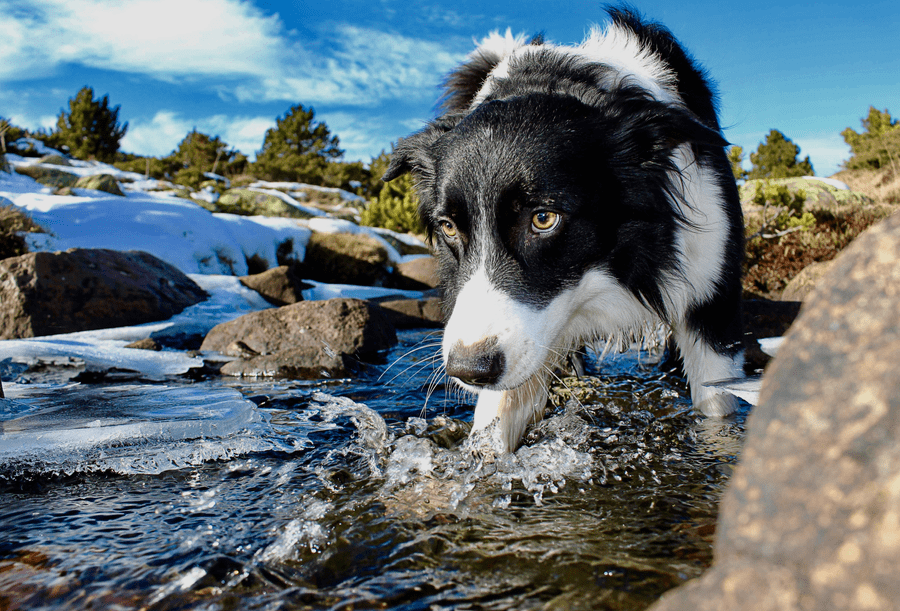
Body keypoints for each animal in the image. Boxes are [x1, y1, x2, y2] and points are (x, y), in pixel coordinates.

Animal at [384, 7, 744, 452]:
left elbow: (717, 410)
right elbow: (494, 427)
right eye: (449, 227)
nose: (468, 370)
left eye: (544, 218)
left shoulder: (710, 293)